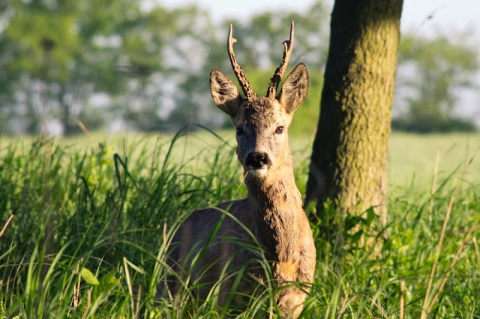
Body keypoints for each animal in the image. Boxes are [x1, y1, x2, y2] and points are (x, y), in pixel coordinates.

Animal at [167, 21, 316, 318]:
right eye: (239, 128)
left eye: (279, 127)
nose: (258, 158)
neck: (280, 257)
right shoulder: (231, 294)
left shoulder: (297, 299)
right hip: (170, 284)